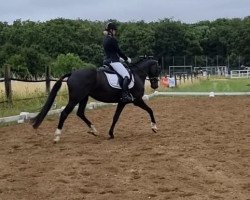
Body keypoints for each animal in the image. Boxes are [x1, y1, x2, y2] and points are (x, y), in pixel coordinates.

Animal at [31, 57, 161, 142]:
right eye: (158, 68)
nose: (155, 85)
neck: (137, 74)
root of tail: (72, 73)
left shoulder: (122, 102)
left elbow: (115, 117)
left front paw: (111, 134)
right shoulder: (136, 100)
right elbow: (150, 110)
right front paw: (154, 127)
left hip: (84, 97)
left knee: (80, 113)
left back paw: (94, 130)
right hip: (75, 98)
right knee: (64, 113)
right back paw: (57, 136)